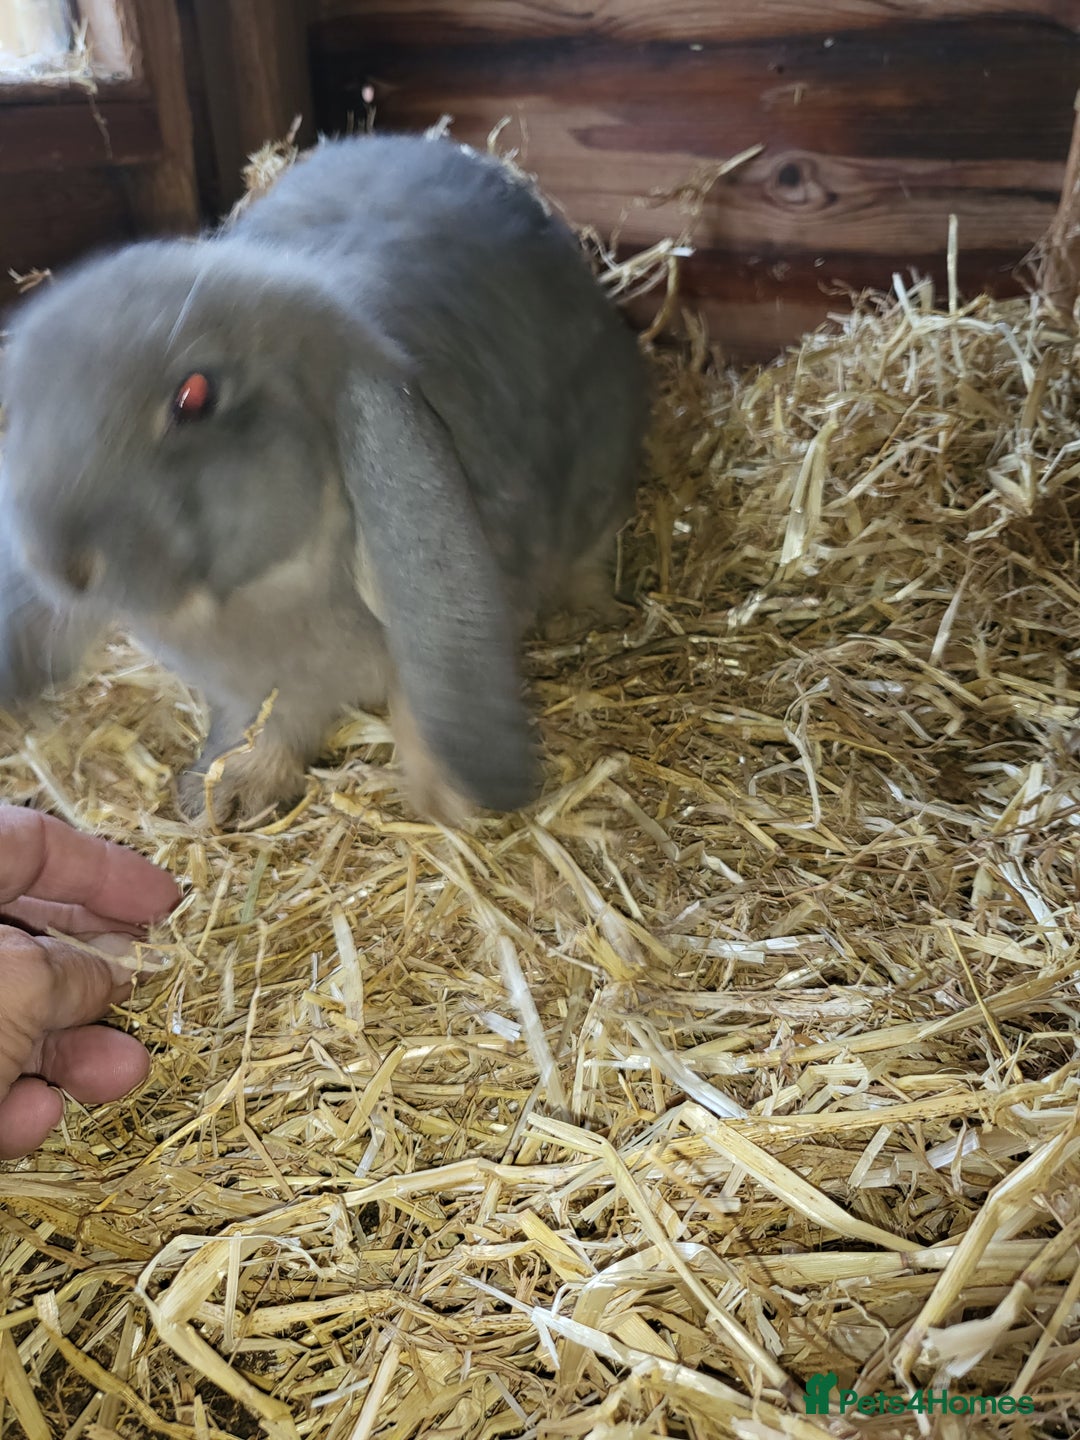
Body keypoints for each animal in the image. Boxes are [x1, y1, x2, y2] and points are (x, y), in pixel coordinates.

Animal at [0, 133, 648, 826]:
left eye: (194, 397)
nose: (59, 565)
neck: (267, 591)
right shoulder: (264, 689)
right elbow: (263, 726)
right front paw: (230, 792)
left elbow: (419, 712)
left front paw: (447, 803)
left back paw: (582, 617)